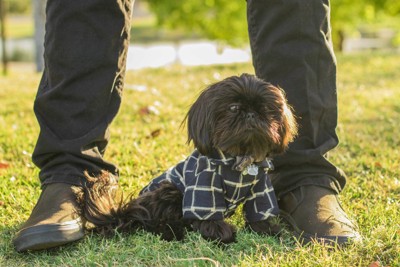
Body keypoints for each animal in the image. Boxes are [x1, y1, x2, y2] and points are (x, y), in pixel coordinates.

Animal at [77, 74, 296, 244]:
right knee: (155, 223)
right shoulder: (204, 185)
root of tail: (126, 212)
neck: (239, 159)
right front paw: (221, 233)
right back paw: (173, 232)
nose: (251, 114)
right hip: (169, 190)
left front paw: (269, 230)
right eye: (233, 108)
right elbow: (207, 214)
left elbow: (260, 212)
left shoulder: (261, 188)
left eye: (265, 109)